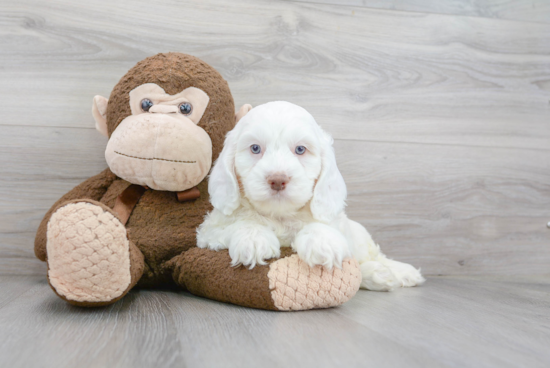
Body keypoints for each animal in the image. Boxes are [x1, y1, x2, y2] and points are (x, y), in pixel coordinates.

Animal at [198, 100, 426, 290]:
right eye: (255, 148)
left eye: (300, 149)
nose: (278, 179)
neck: (280, 216)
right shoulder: (209, 232)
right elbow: (236, 225)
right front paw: (253, 239)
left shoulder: (334, 222)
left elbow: (323, 228)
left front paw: (322, 243)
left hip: (360, 236)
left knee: (372, 257)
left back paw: (397, 272)